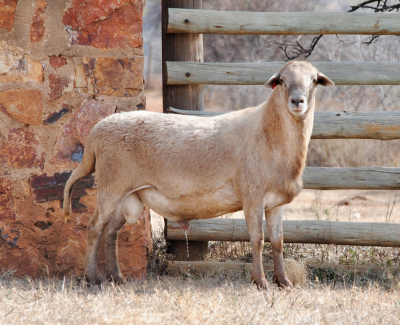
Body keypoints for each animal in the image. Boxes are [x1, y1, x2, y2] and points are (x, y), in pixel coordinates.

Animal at [63, 61, 334, 288]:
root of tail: (96, 131)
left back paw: (117, 278)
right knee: (94, 228)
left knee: (110, 232)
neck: (269, 134)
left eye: (313, 80)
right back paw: (92, 278)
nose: (297, 101)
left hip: (129, 195)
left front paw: (283, 282)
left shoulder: (276, 203)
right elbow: (257, 239)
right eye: (283, 81)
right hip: (111, 186)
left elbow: (278, 242)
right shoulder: (252, 196)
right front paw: (261, 282)